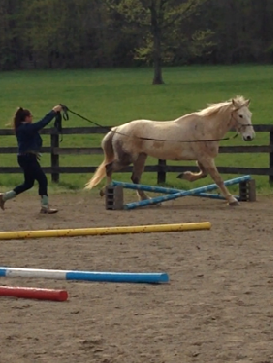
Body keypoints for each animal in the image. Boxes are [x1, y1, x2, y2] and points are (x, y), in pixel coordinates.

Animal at [84, 95, 254, 206]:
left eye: (250, 114)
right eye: (240, 115)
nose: (250, 136)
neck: (205, 128)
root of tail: (117, 129)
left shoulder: (201, 159)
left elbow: (203, 174)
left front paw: (185, 176)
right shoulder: (206, 158)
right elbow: (217, 179)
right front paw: (232, 199)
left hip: (141, 158)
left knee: (135, 178)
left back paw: (146, 199)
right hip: (127, 159)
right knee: (109, 168)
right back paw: (108, 191)